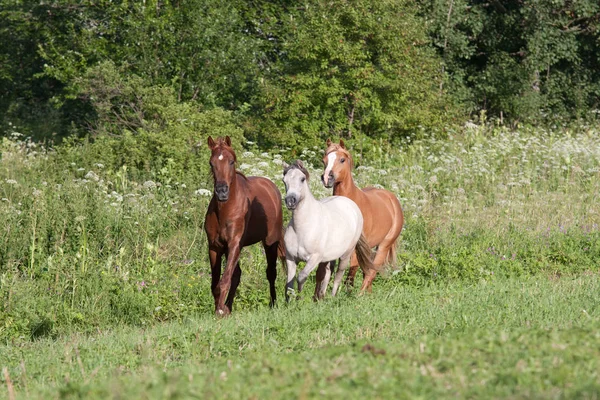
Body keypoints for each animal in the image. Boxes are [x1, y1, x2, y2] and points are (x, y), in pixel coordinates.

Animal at [203, 137, 284, 316]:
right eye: (211, 163)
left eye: (231, 161)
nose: (222, 191)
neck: (225, 210)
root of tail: (271, 187)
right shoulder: (215, 247)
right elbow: (215, 283)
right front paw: (221, 309)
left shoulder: (234, 244)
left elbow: (224, 280)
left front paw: (219, 311)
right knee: (238, 274)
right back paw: (228, 307)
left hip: (270, 242)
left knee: (271, 273)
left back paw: (273, 303)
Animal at [280, 159, 370, 300]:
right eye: (284, 180)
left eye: (302, 179)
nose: (290, 201)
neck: (302, 229)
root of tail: (351, 204)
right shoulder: (291, 259)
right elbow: (289, 285)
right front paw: (288, 302)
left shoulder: (314, 258)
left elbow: (301, 277)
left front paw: (299, 299)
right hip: (330, 256)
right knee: (328, 271)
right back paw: (321, 297)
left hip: (346, 254)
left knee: (338, 274)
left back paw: (332, 297)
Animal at [324, 139, 404, 292]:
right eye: (324, 160)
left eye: (342, 159)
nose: (326, 178)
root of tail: (391, 198)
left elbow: (352, 269)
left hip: (384, 245)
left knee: (371, 272)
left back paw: (360, 294)